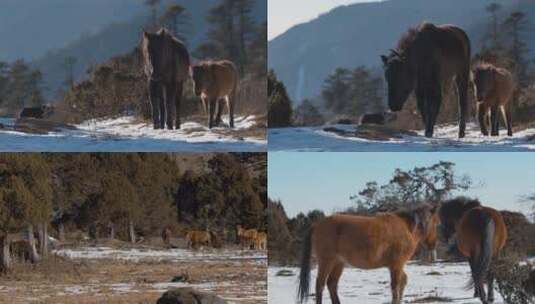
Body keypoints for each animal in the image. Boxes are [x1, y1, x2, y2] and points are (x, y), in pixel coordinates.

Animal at [298, 204, 440, 304]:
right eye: (436, 223)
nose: (433, 245)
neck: (407, 228)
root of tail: (316, 224)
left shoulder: (397, 266)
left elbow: (403, 282)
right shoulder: (396, 265)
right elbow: (395, 287)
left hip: (339, 263)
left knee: (332, 284)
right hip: (327, 261)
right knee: (320, 285)